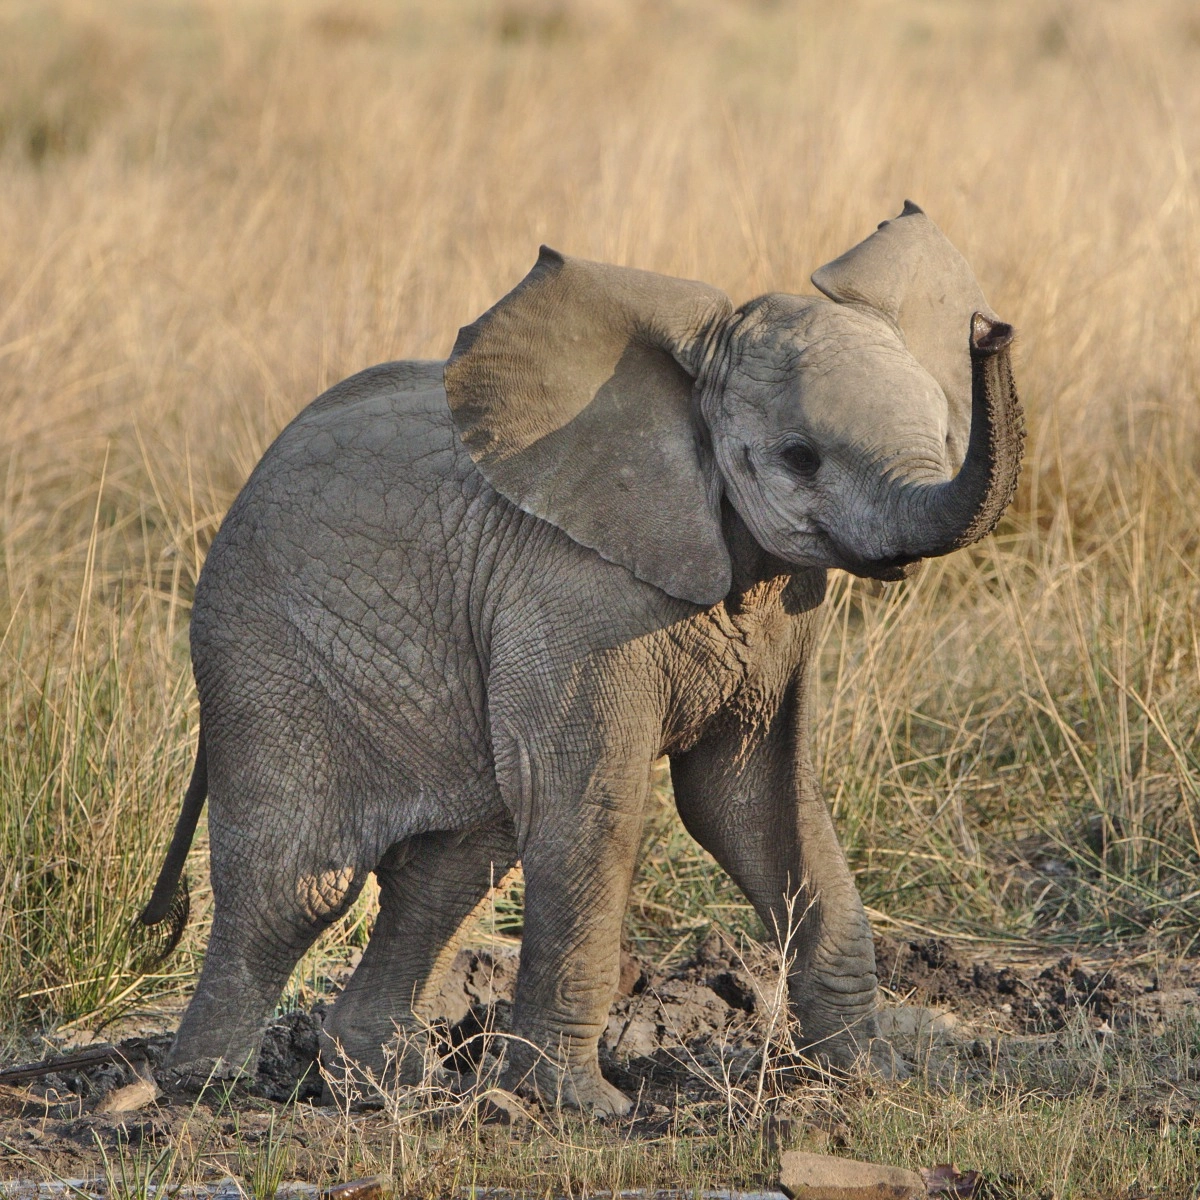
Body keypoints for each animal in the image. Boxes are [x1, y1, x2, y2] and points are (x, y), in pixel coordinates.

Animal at [138, 201, 1022, 1116]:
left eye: (945, 430)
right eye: (799, 456)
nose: (993, 332)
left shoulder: (782, 610)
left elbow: (753, 800)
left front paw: (872, 1076)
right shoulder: (568, 594)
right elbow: (590, 801)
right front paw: (581, 1108)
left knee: (453, 863)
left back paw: (390, 1083)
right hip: (268, 653)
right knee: (299, 882)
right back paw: (204, 1091)